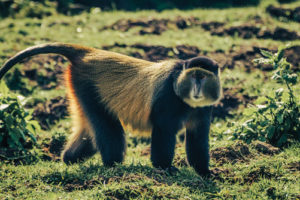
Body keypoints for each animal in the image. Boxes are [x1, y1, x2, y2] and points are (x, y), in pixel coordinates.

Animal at [0, 43, 220, 176]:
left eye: (203, 77)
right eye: (194, 76)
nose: (197, 89)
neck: (184, 97)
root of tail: (88, 53)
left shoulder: (204, 109)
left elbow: (198, 137)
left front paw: (204, 172)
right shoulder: (167, 99)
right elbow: (163, 132)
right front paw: (165, 168)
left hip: (80, 91)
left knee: (89, 133)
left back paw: (69, 158)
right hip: (88, 87)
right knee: (109, 130)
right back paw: (113, 166)